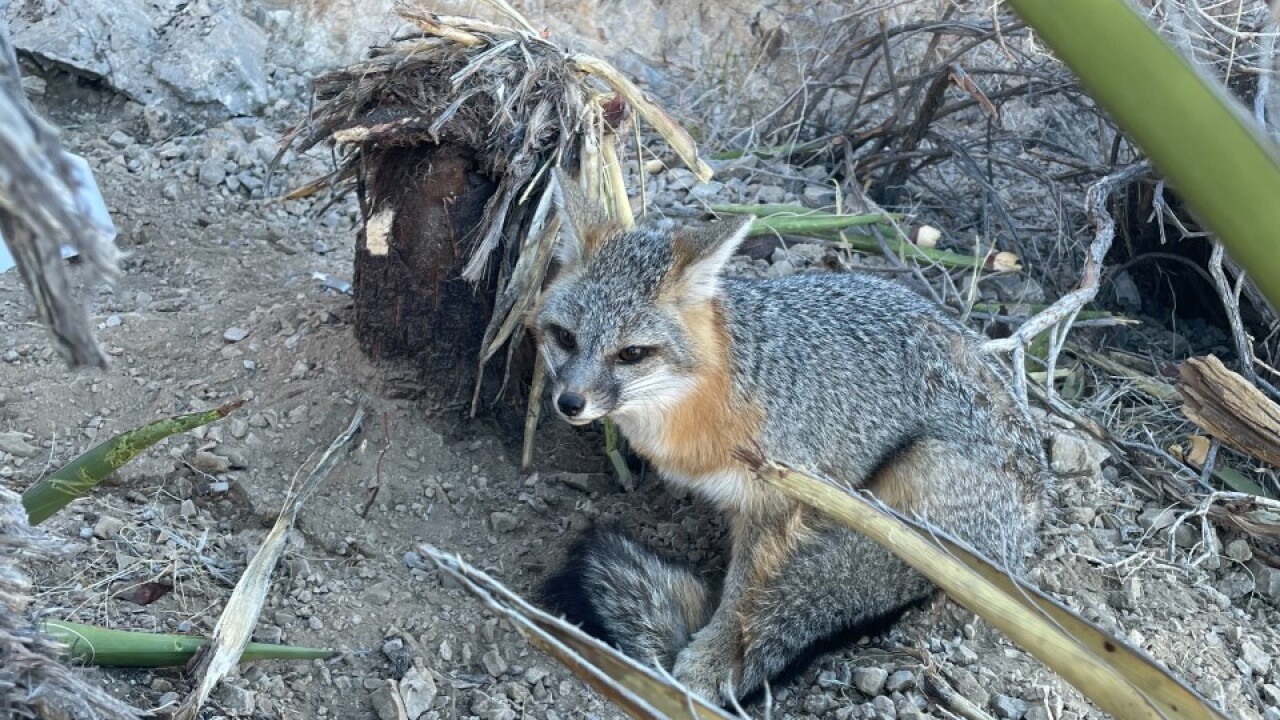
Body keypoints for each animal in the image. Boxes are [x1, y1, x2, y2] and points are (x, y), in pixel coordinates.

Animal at [531, 170, 1053, 705]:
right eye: (565, 338)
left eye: (631, 353)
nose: (569, 402)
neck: (712, 392)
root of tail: (1026, 528)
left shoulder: (783, 500)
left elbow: (744, 596)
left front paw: (716, 659)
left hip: (918, 482)